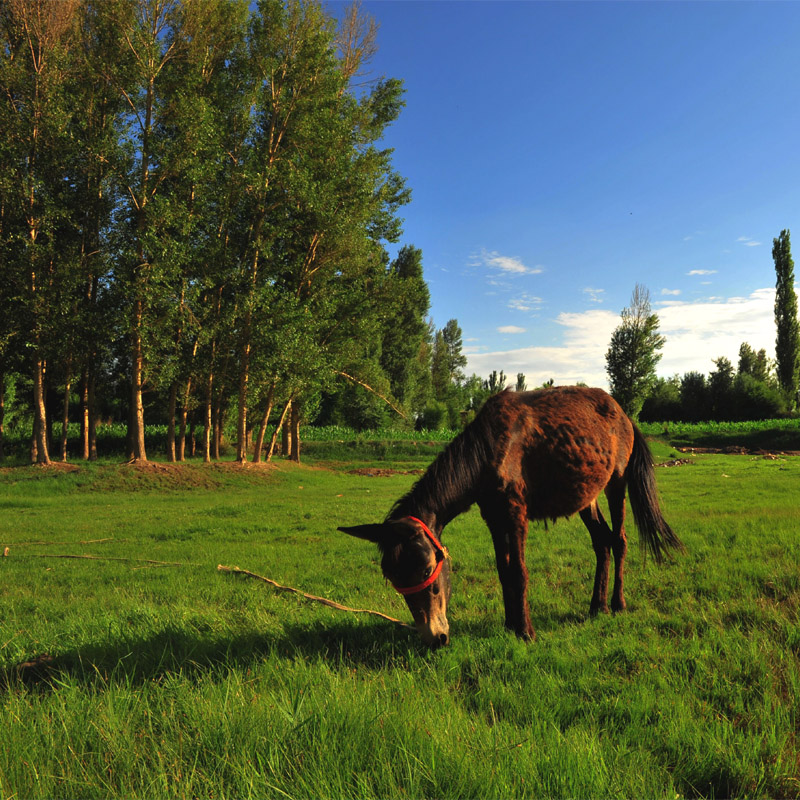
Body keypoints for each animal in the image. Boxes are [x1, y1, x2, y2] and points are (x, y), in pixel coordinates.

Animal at [340, 384, 684, 648]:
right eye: (393, 578)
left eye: (426, 569)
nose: (435, 638)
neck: (487, 452)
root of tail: (625, 415)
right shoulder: (493, 517)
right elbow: (503, 570)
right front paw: (509, 624)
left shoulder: (516, 514)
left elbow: (519, 572)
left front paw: (526, 631)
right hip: (587, 497)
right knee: (602, 543)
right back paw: (597, 606)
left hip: (616, 483)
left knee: (620, 540)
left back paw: (617, 603)